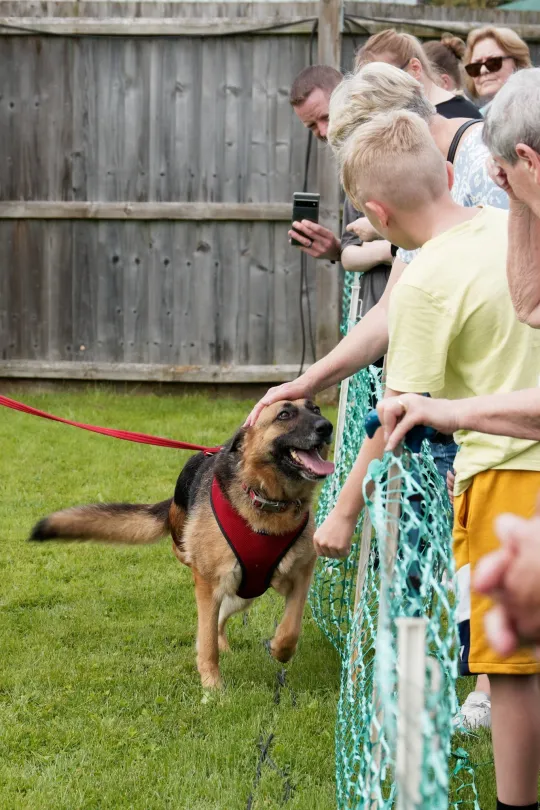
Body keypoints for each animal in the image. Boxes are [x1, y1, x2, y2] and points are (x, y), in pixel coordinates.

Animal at [30, 400, 334, 684]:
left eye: (316, 409)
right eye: (284, 415)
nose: (327, 426)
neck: (269, 502)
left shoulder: (301, 574)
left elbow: (291, 626)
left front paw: (280, 650)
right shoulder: (208, 584)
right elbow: (207, 642)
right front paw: (213, 686)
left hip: (243, 593)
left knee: (219, 620)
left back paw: (226, 644)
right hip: (203, 564)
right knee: (201, 599)